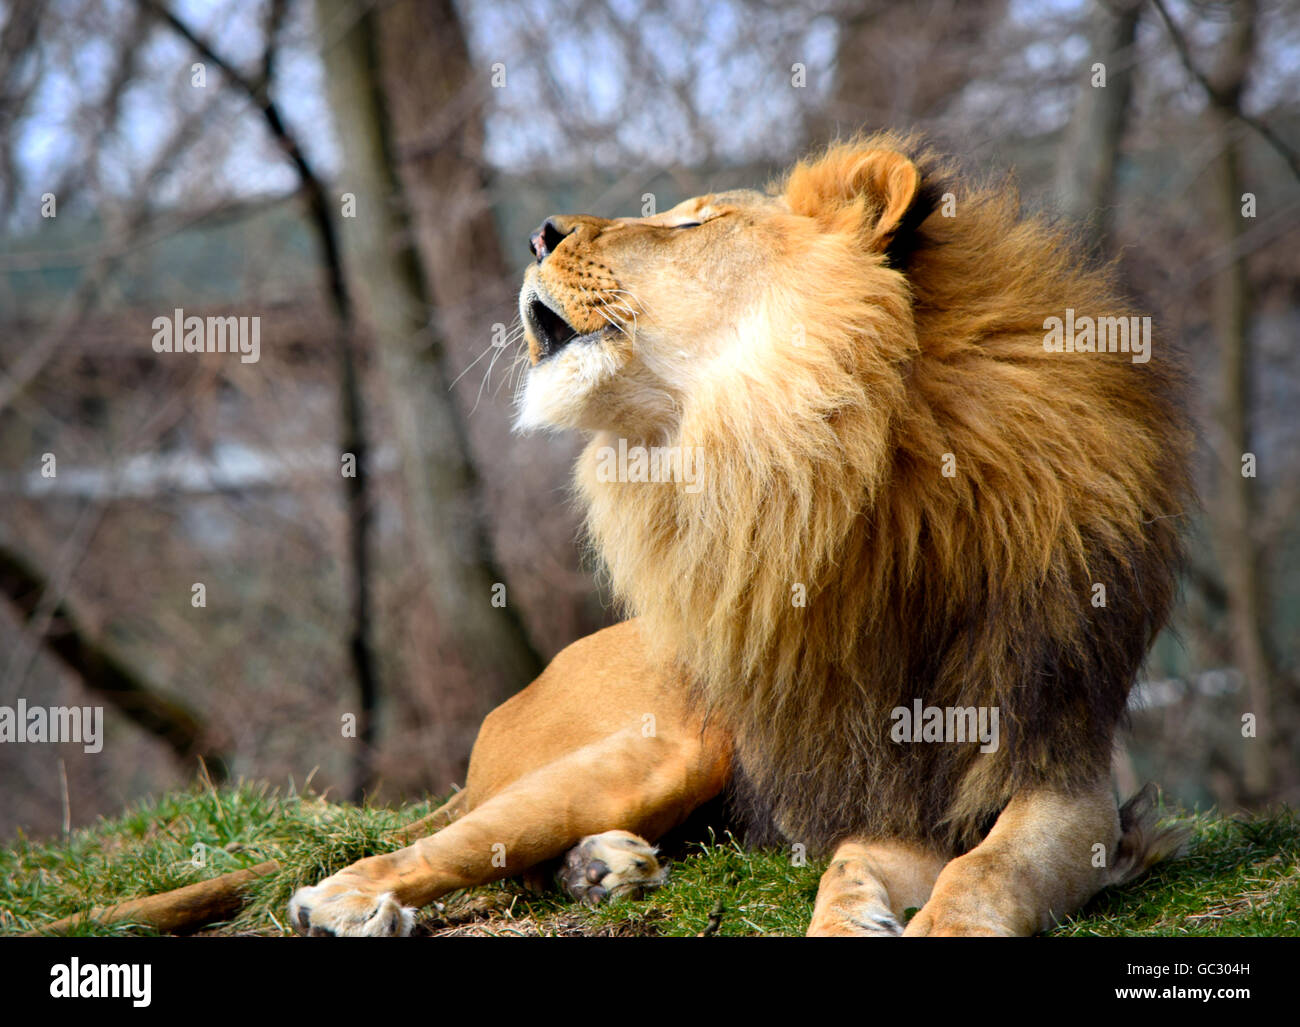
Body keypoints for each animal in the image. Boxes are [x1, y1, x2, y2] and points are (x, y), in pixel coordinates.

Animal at [73, 134, 1190, 941]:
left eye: (696, 220)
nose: (538, 231)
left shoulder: (1061, 774)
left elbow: (980, 867)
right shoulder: (864, 778)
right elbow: (856, 864)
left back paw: (601, 866)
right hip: (663, 743)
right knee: (442, 846)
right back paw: (352, 898)